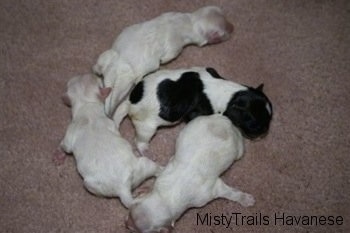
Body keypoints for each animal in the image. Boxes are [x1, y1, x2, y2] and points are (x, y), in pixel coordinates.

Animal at [57, 74, 161, 208]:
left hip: (94, 185)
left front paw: (59, 154)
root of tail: (123, 188)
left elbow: (65, 146)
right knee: (155, 170)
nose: (93, 74)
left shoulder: (71, 132)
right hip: (141, 167)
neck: (87, 104)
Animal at [94, 6, 234, 116]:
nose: (233, 27)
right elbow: (169, 55)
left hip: (108, 56)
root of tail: (117, 64)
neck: (190, 21)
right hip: (127, 78)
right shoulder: (175, 47)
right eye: (225, 31)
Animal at [113, 67, 272, 155]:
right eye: (255, 127)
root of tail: (130, 101)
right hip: (147, 127)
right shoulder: (197, 113)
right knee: (140, 140)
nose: (265, 132)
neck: (230, 94)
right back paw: (144, 150)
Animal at [126, 115, 254, 233]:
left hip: (239, 149)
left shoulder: (211, 192)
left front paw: (246, 199)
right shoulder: (166, 171)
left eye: (136, 231)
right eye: (129, 212)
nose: (125, 224)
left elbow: (231, 193)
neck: (167, 197)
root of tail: (223, 119)